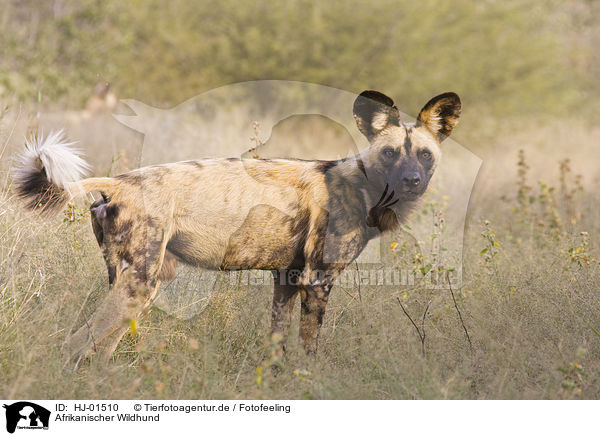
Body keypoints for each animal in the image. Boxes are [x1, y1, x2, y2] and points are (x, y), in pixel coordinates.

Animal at [14, 91, 462, 364]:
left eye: (424, 155)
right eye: (389, 153)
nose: (411, 181)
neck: (362, 186)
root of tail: (120, 181)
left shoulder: (287, 279)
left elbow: (277, 347)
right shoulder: (317, 282)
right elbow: (309, 351)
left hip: (134, 285)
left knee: (100, 347)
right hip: (141, 283)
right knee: (76, 343)